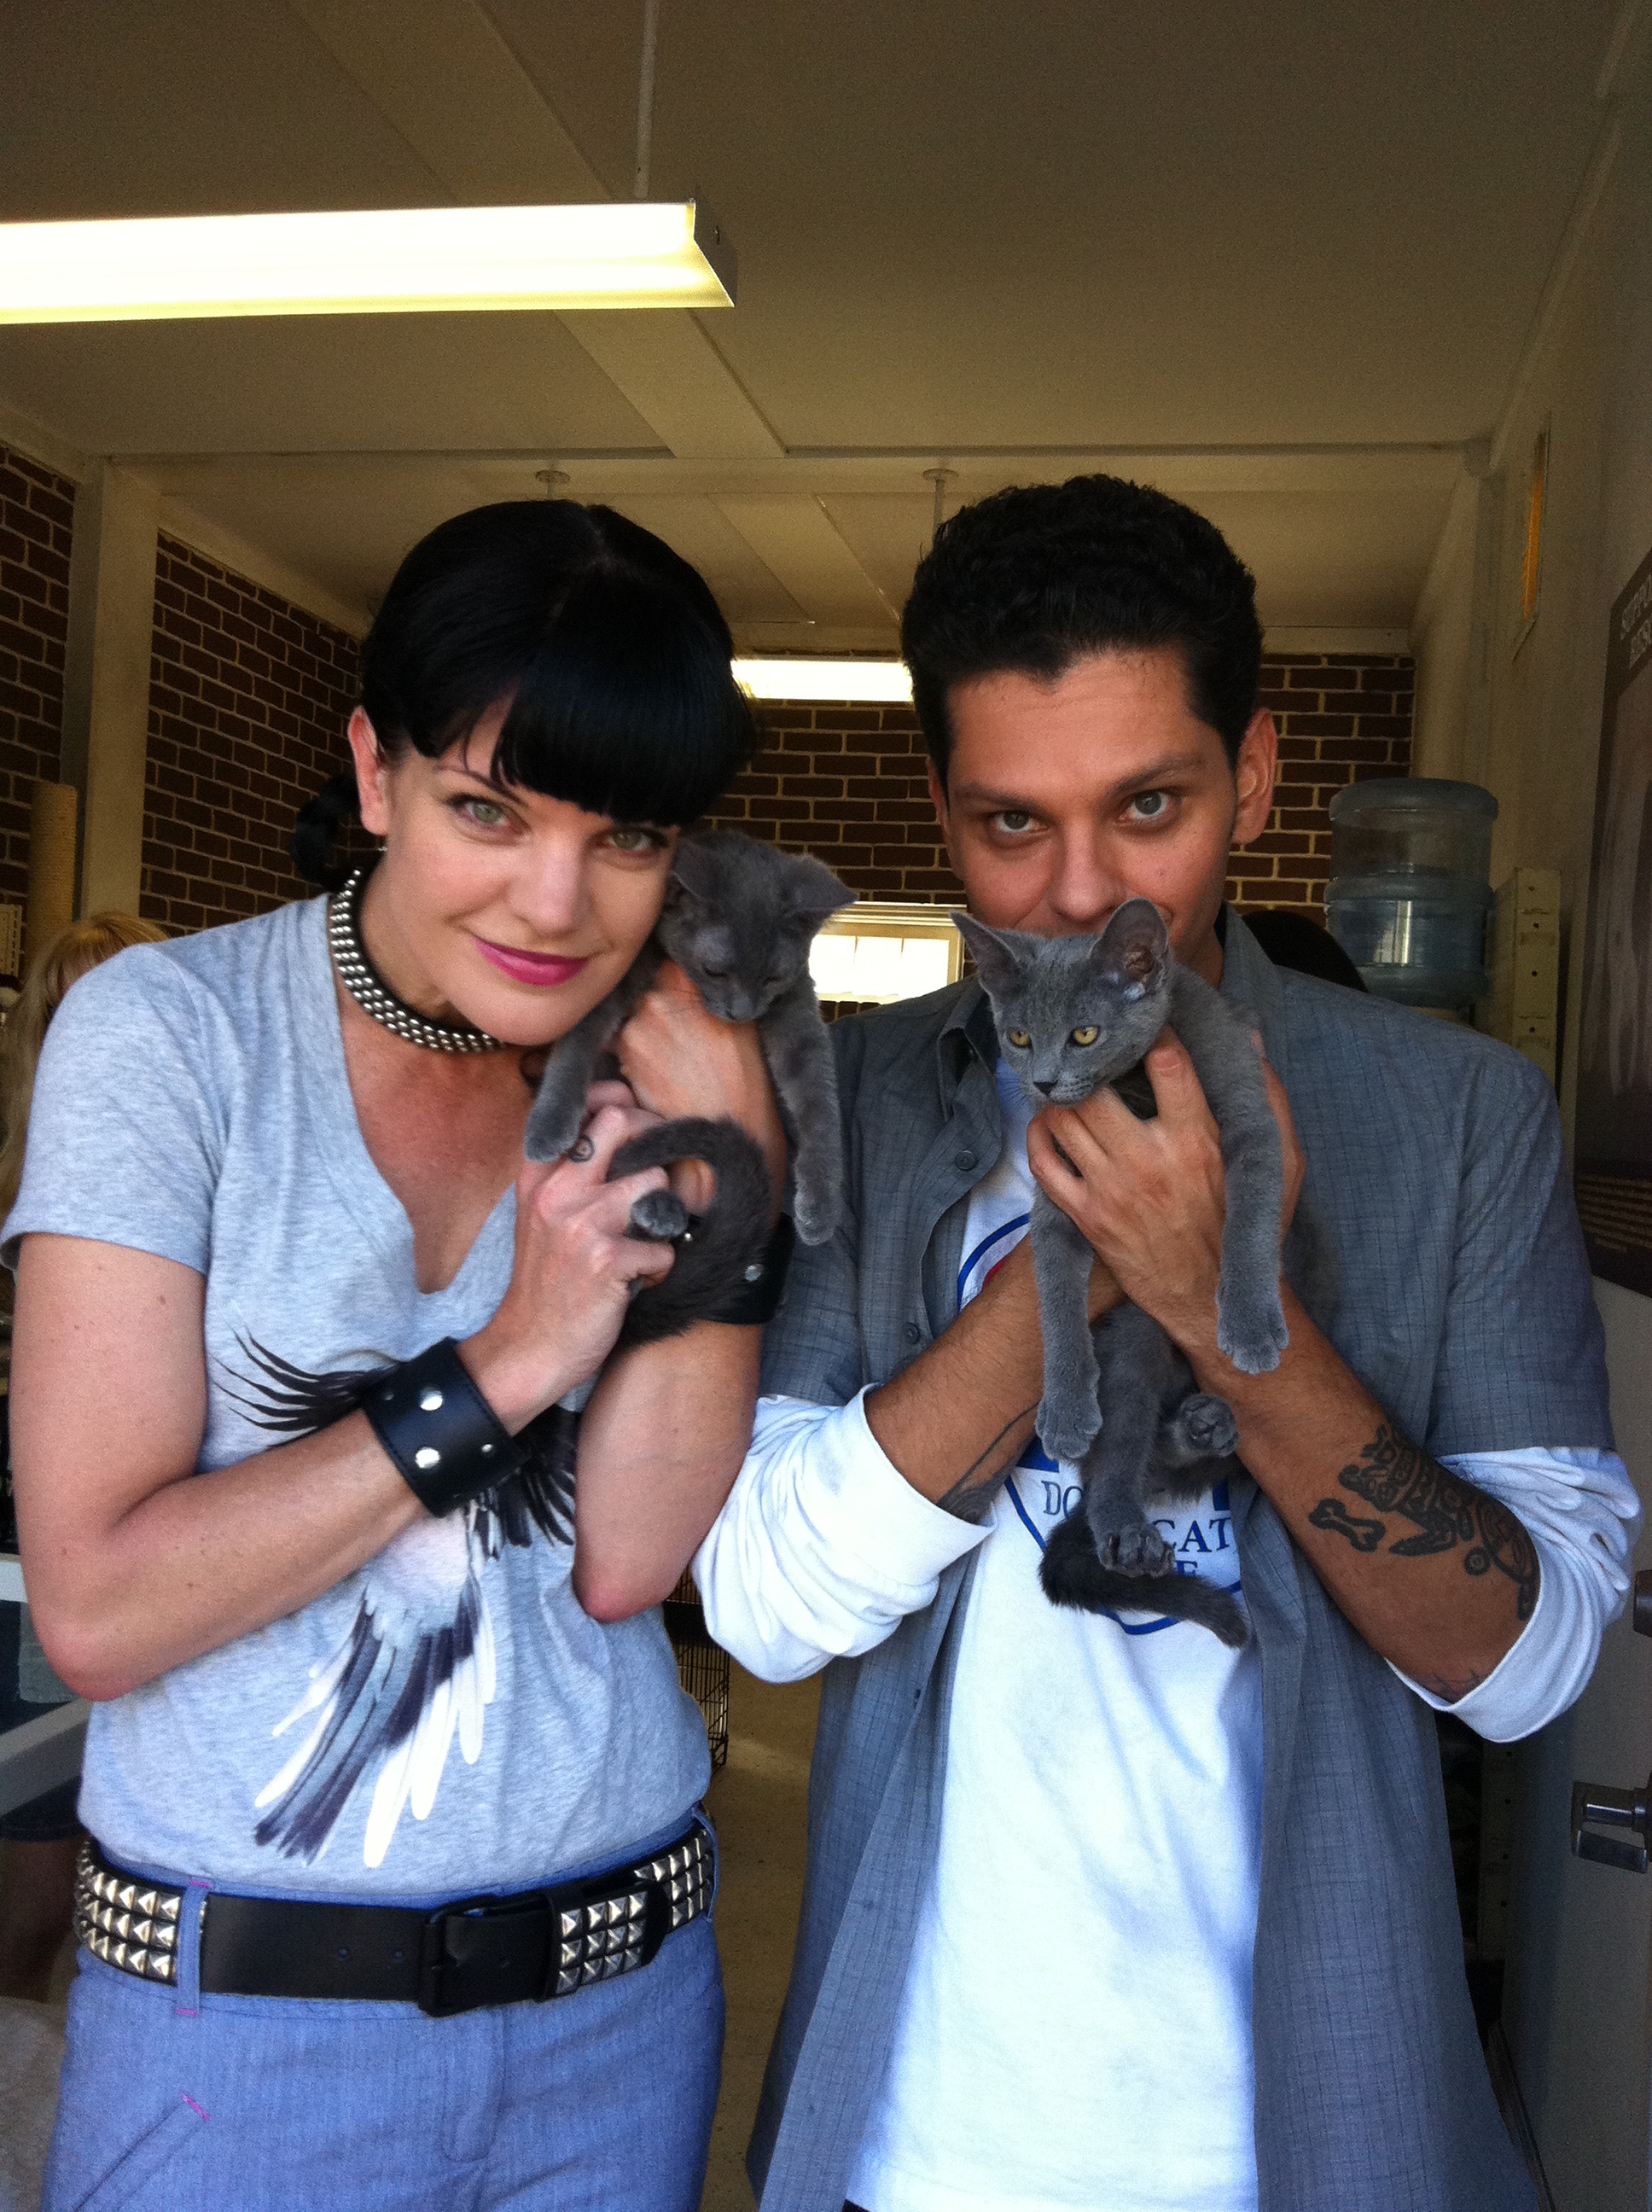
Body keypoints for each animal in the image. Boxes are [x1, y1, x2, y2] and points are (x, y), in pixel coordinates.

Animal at [526, 830, 854, 1248]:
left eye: (773, 978)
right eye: (714, 971)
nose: (742, 1012)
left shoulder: (796, 1007)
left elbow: (818, 1098)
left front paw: (821, 1206)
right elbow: (582, 1035)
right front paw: (548, 1127)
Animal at [956, 899, 1302, 1645]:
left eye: (1084, 1033)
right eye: (1019, 1036)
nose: (1044, 1082)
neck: (1133, 1086)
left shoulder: (1253, 1123)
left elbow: (1249, 1220)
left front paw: (1251, 1325)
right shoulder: (1060, 1201)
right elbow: (1056, 1299)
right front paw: (1063, 1406)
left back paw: (1203, 1429)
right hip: (1137, 1344)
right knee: (1118, 1452)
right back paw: (1133, 1522)